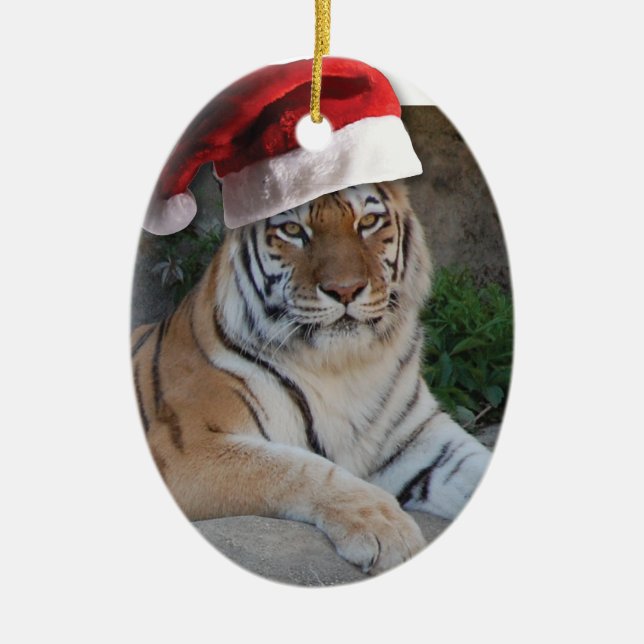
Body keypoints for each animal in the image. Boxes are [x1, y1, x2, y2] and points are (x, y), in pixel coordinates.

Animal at [131, 180, 491, 574]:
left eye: (368, 222)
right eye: (292, 230)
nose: (345, 289)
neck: (345, 366)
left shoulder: (421, 438)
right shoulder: (184, 446)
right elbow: (298, 469)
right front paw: (389, 529)